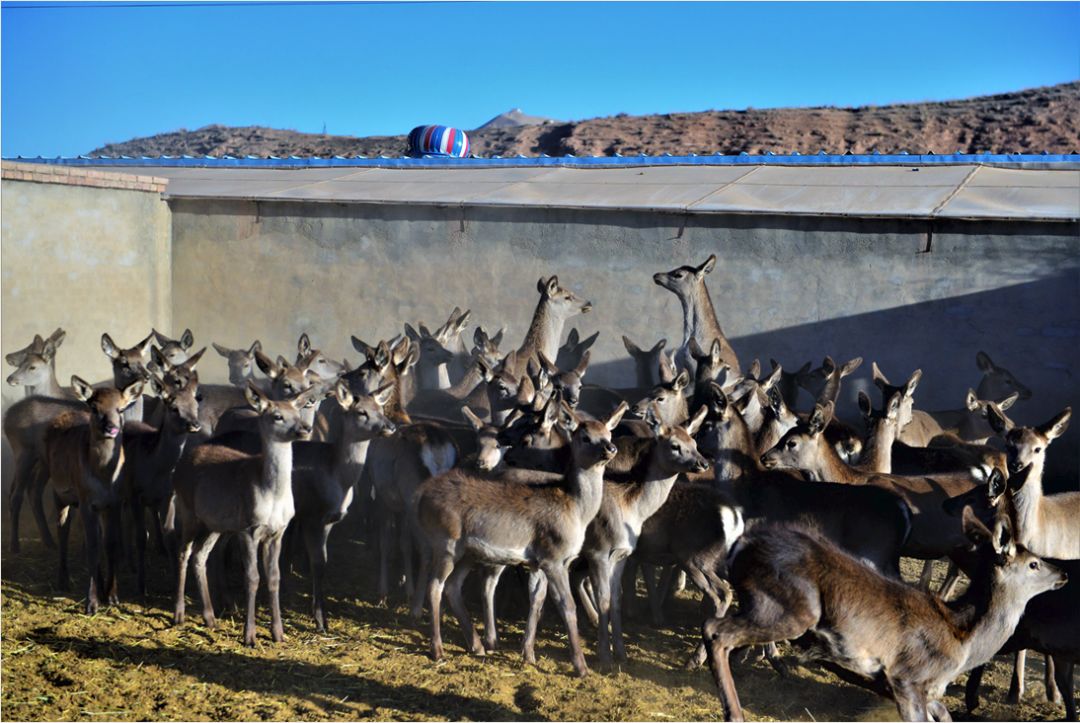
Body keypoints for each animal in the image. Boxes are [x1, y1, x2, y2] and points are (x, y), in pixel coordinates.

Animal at [45, 378, 143, 609]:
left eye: (121, 408)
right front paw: (92, 602)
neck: (105, 478)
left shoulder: (115, 502)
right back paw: (63, 580)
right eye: (95, 408)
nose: (111, 428)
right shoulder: (86, 499)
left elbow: (111, 545)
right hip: (59, 493)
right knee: (63, 531)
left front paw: (113, 596)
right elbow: (92, 547)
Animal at [171, 380, 315, 644]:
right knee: (183, 552)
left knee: (200, 555)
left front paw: (278, 633)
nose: (305, 428)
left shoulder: (278, 531)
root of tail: (179, 465)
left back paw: (210, 617)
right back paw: (179, 613)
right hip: (187, 509)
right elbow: (252, 577)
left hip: (215, 523)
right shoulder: (248, 528)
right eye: (277, 416)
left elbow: (274, 577)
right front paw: (250, 635)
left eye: (297, 412)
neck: (272, 495)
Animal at [414, 399, 630, 678]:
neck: (576, 510)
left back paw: (477, 646)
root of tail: (420, 496)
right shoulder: (553, 555)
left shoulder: (543, 561)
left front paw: (528, 655)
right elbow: (567, 606)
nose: (609, 448)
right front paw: (581, 667)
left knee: (452, 586)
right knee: (435, 586)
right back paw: (438, 650)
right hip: (445, 542)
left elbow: (537, 601)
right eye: (585, 436)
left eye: (608, 434)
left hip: (468, 552)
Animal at [704, 507, 1067, 721]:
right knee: (715, 630)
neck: (963, 642)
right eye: (1034, 563)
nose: (1063, 572)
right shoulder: (906, 676)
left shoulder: (926, 690)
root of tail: (740, 545)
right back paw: (734, 713)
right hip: (792, 607)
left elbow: (945, 715)